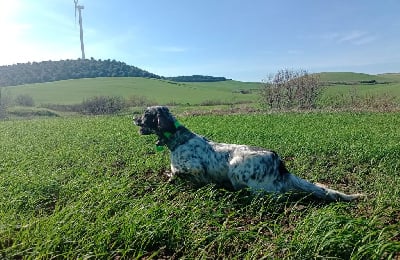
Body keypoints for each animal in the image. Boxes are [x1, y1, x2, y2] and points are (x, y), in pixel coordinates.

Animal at [134, 106, 362, 202]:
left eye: (146, 114)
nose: (133, 118)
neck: (178, 139)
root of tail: (279, 164)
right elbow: (173, 173)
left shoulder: (195, 167)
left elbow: (179, 172)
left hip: (236, 169)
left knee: (274, 195)